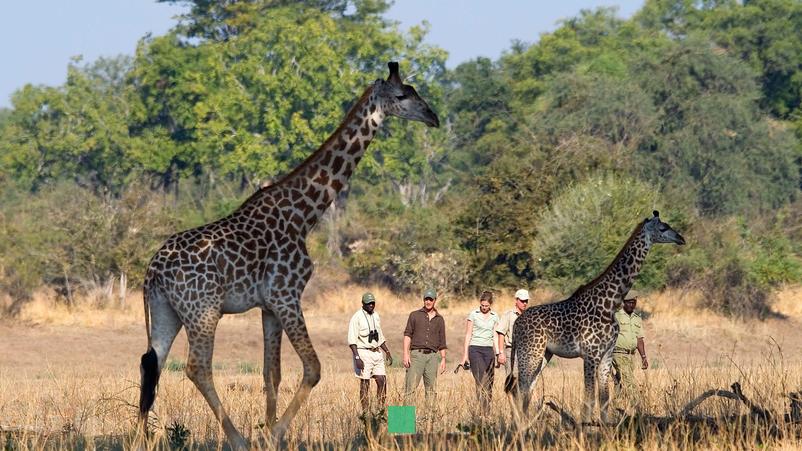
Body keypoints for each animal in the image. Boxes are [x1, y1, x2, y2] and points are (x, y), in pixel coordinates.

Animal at [137, 62, 438, 448]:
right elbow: (313, 368)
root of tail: (152, 272)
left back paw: (139, 436)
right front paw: (273, 434)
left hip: (167, 311)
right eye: (402, 95)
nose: (433, 117)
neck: (304, 214)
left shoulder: (268, 305)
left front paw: (269, 428)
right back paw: (237, 439)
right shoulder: (286, 294)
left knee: (151, 361)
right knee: (197, 367)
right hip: (202, 310)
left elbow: (272, 373)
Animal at [506, 212, 680, 424]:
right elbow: (589, 399)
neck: (610, 303)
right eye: (663, 228)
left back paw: (525, 425)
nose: (681, 238)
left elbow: (604, 399)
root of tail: (516, 324)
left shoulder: (607, 354)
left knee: (526, 389)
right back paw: (519, 426)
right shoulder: (590, 354)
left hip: (544, 354)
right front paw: (584, 427)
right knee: (519, 388)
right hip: (530, 352)